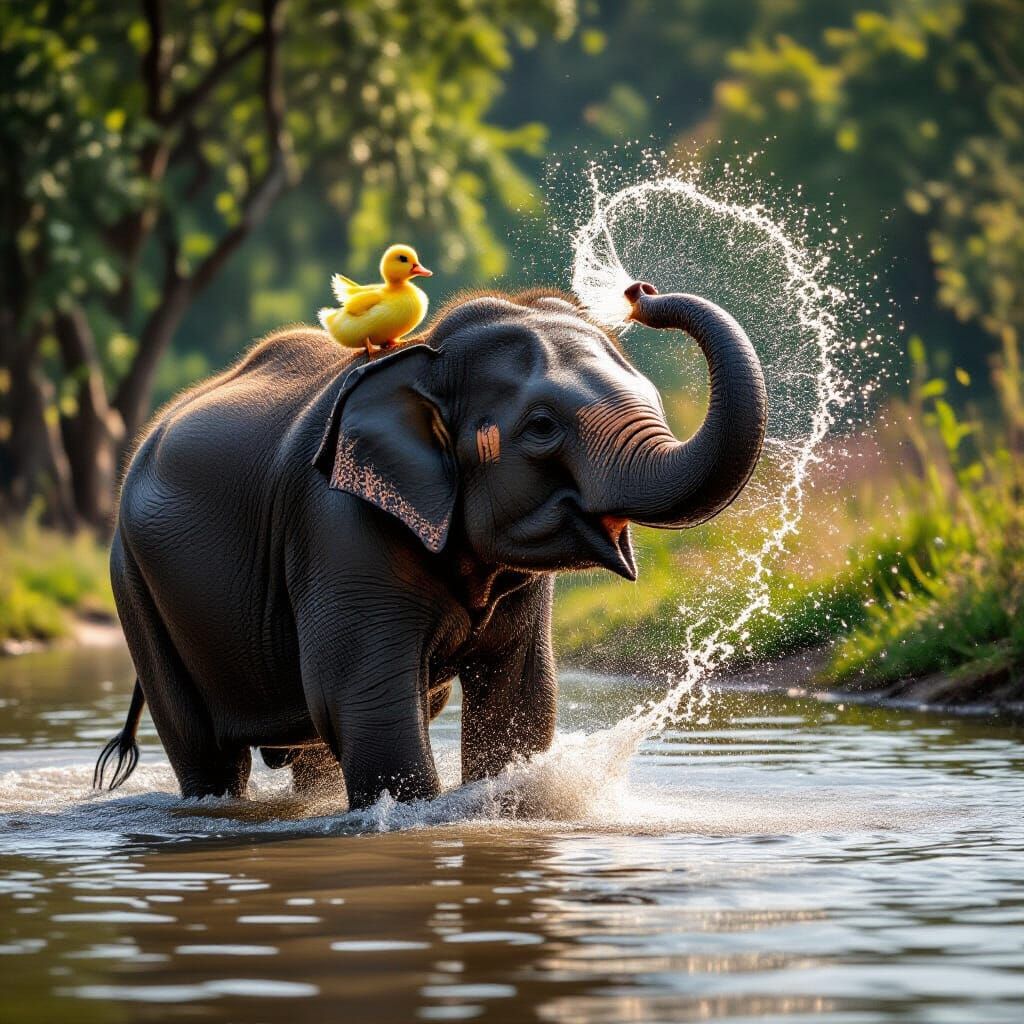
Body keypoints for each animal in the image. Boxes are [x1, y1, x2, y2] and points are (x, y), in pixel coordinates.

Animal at [94, 281, 766, 808]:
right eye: (542, 427)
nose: (639, 292)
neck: (428, 362)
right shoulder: (337, 524)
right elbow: (366, 703)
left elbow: (521, 701)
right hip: (134, 579)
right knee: (204, 747)